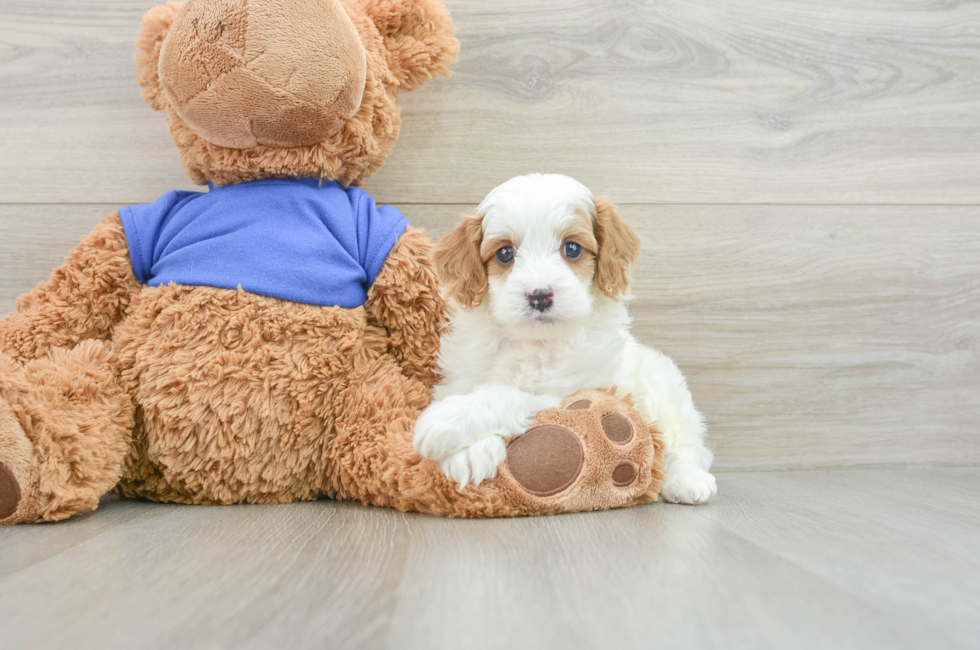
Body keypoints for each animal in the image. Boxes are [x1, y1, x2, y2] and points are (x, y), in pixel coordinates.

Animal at [410, 172, 716, 502]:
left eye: (572, 249)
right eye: (505, 253)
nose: (540, 296)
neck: (535, 342)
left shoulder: (575, 394)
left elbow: (509, 394)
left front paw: (450, 420)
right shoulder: (463, 375)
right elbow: (469, 390)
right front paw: (469, 452)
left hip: (667, 393)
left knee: (687, 445)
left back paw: (687, 481)